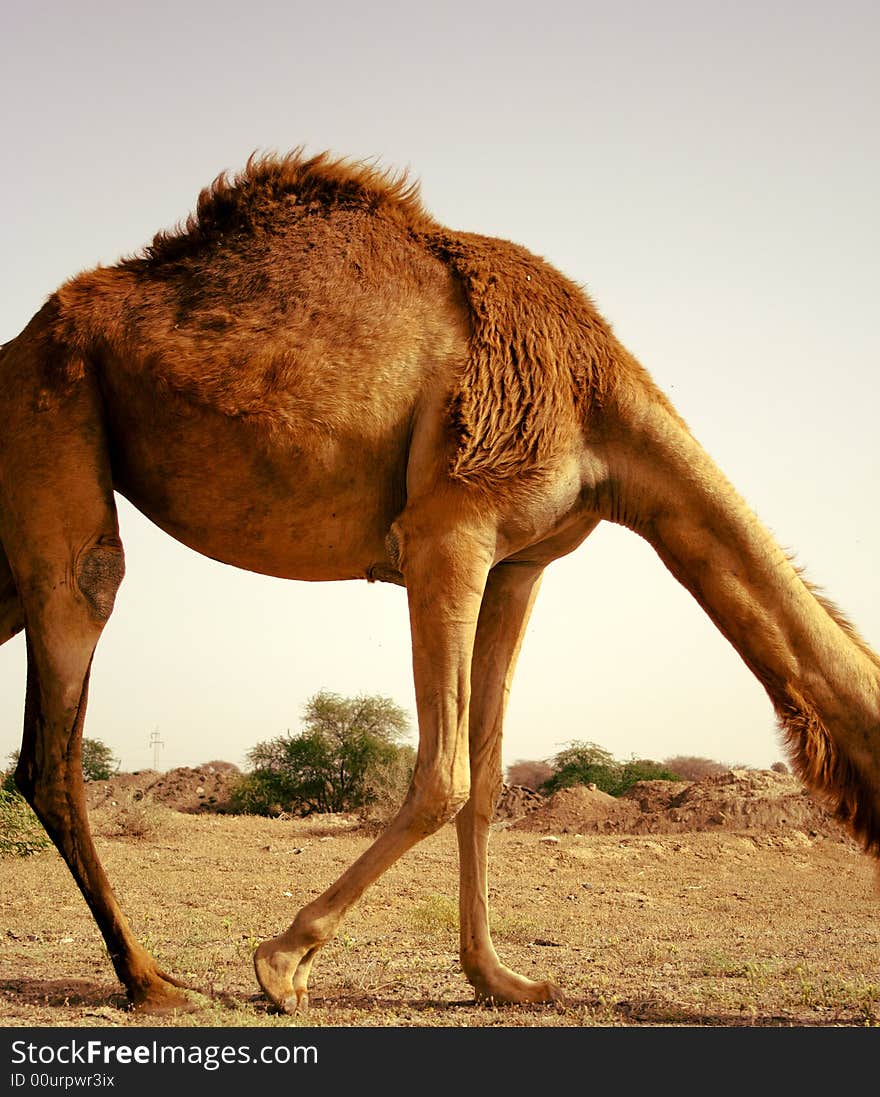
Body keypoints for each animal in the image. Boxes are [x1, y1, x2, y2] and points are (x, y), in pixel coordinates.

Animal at [1, 150, 877, 1013]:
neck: (595, 405)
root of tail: (20, 342)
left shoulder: (520, 562)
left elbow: (486, 777)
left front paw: (500, 977)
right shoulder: (448, 531)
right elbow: (442, 777)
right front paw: (282, 962)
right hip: (56, 416)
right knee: (65, 693)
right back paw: (151, 980)